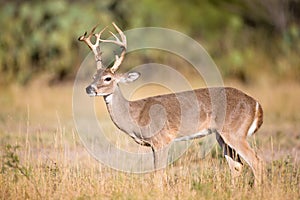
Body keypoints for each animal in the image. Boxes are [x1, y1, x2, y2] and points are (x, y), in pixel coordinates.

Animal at [78, 22, 264, 184]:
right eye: (93, 76)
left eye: (108, 78)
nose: (89, 88)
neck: (135, 116)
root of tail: (256, 104)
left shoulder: (162, 139)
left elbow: (158, 174)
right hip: (221, 135)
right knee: (237, 166)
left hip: (234, 131)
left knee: (256, 162)